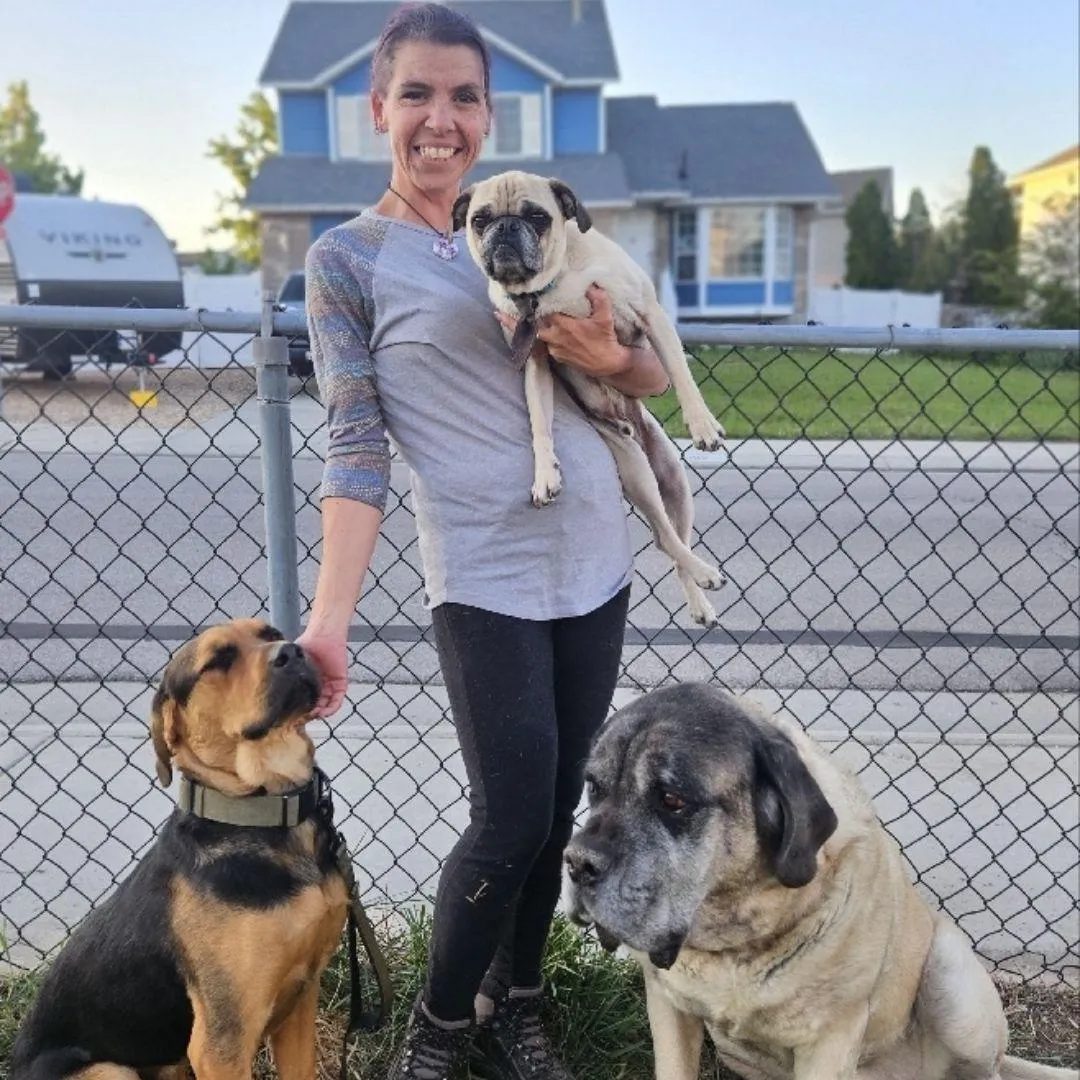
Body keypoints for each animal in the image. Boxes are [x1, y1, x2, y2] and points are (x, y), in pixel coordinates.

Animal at [451, 167, 730, 626]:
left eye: (537, 216)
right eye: (480, 220)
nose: (506, 227)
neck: (551, 285)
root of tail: (628, 424)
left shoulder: (650, 314)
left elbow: (680, 373)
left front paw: (702, 424)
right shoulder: (536, 362)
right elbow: (539, 424)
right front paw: (544, 475)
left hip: (674, 482)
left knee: (676, 541)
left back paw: (702, 589)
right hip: (635, 471)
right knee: (664, 539)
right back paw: (703, 579)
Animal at [561, 682, 1075, 1080]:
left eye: (672, 799)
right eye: (594, 788)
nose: (576, 862)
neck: (736, 942)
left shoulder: (830, 1039)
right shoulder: (668, 1007)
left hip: (952, 981)